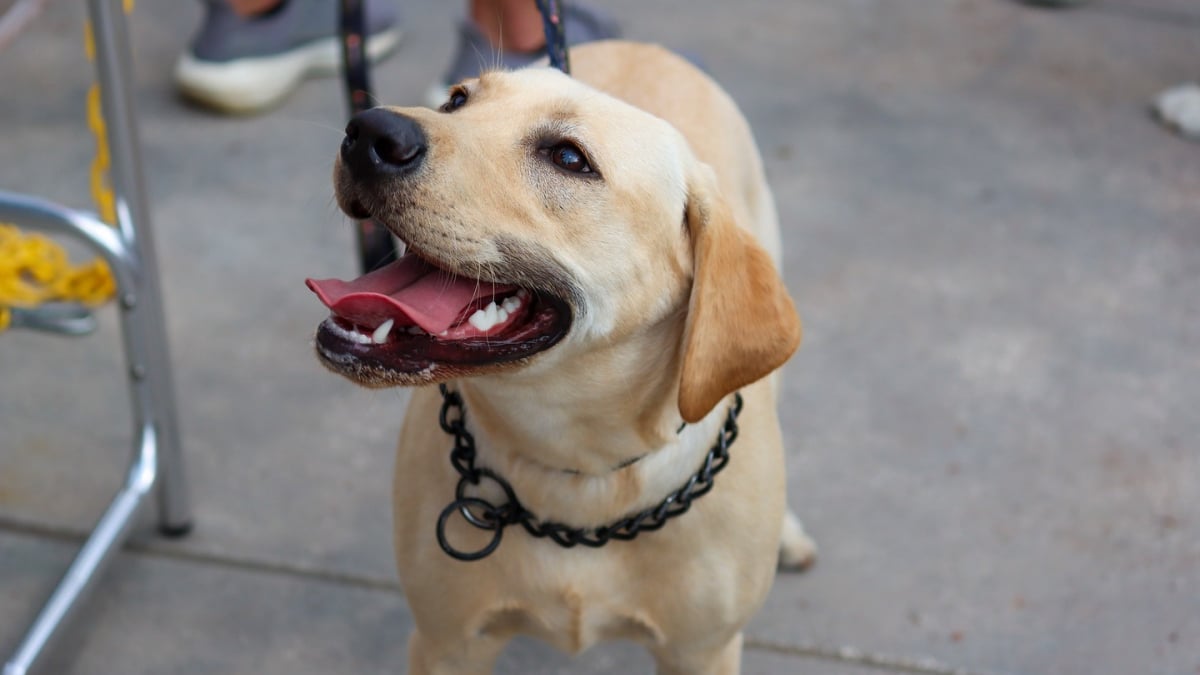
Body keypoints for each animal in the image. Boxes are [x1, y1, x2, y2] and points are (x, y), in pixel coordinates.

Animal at [307, 39, 816, 667]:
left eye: (570, 158)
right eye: (457, 100)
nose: (369, 130)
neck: (576, 466)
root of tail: (646, 46)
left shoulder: (702, 653)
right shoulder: (446, 644)